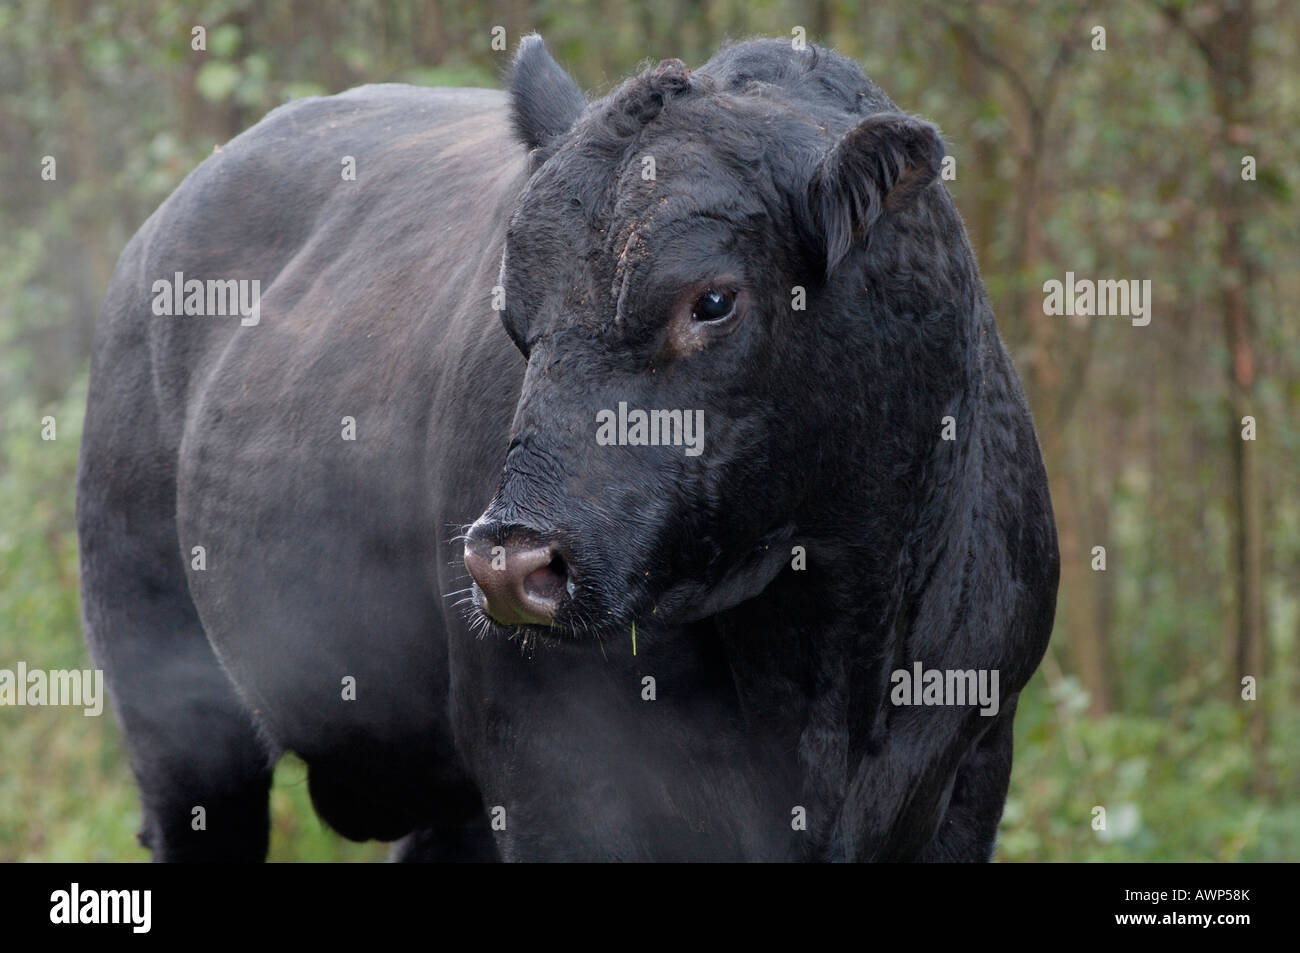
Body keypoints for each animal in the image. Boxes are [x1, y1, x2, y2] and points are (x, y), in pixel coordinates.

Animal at [76, 37, 1060, 858]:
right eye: (515, 314)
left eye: (712, 301)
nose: (511, 562)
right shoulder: (557, 770)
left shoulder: (973, 760)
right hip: (171, 703)